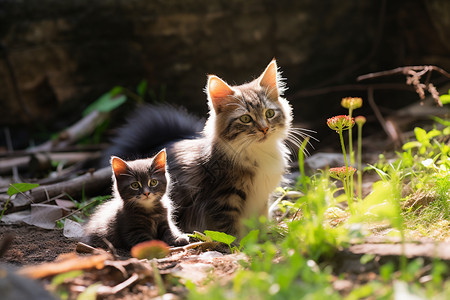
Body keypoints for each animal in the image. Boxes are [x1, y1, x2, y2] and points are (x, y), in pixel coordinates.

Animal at [106, 59, 304, 237]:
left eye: (269, 113)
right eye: (246, 119)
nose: (264, 129)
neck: (257, 153)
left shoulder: (261, 199)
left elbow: (259, 224)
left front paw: (262, 240)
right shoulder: (223, 199)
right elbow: (230, 231)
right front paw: (240, 246)